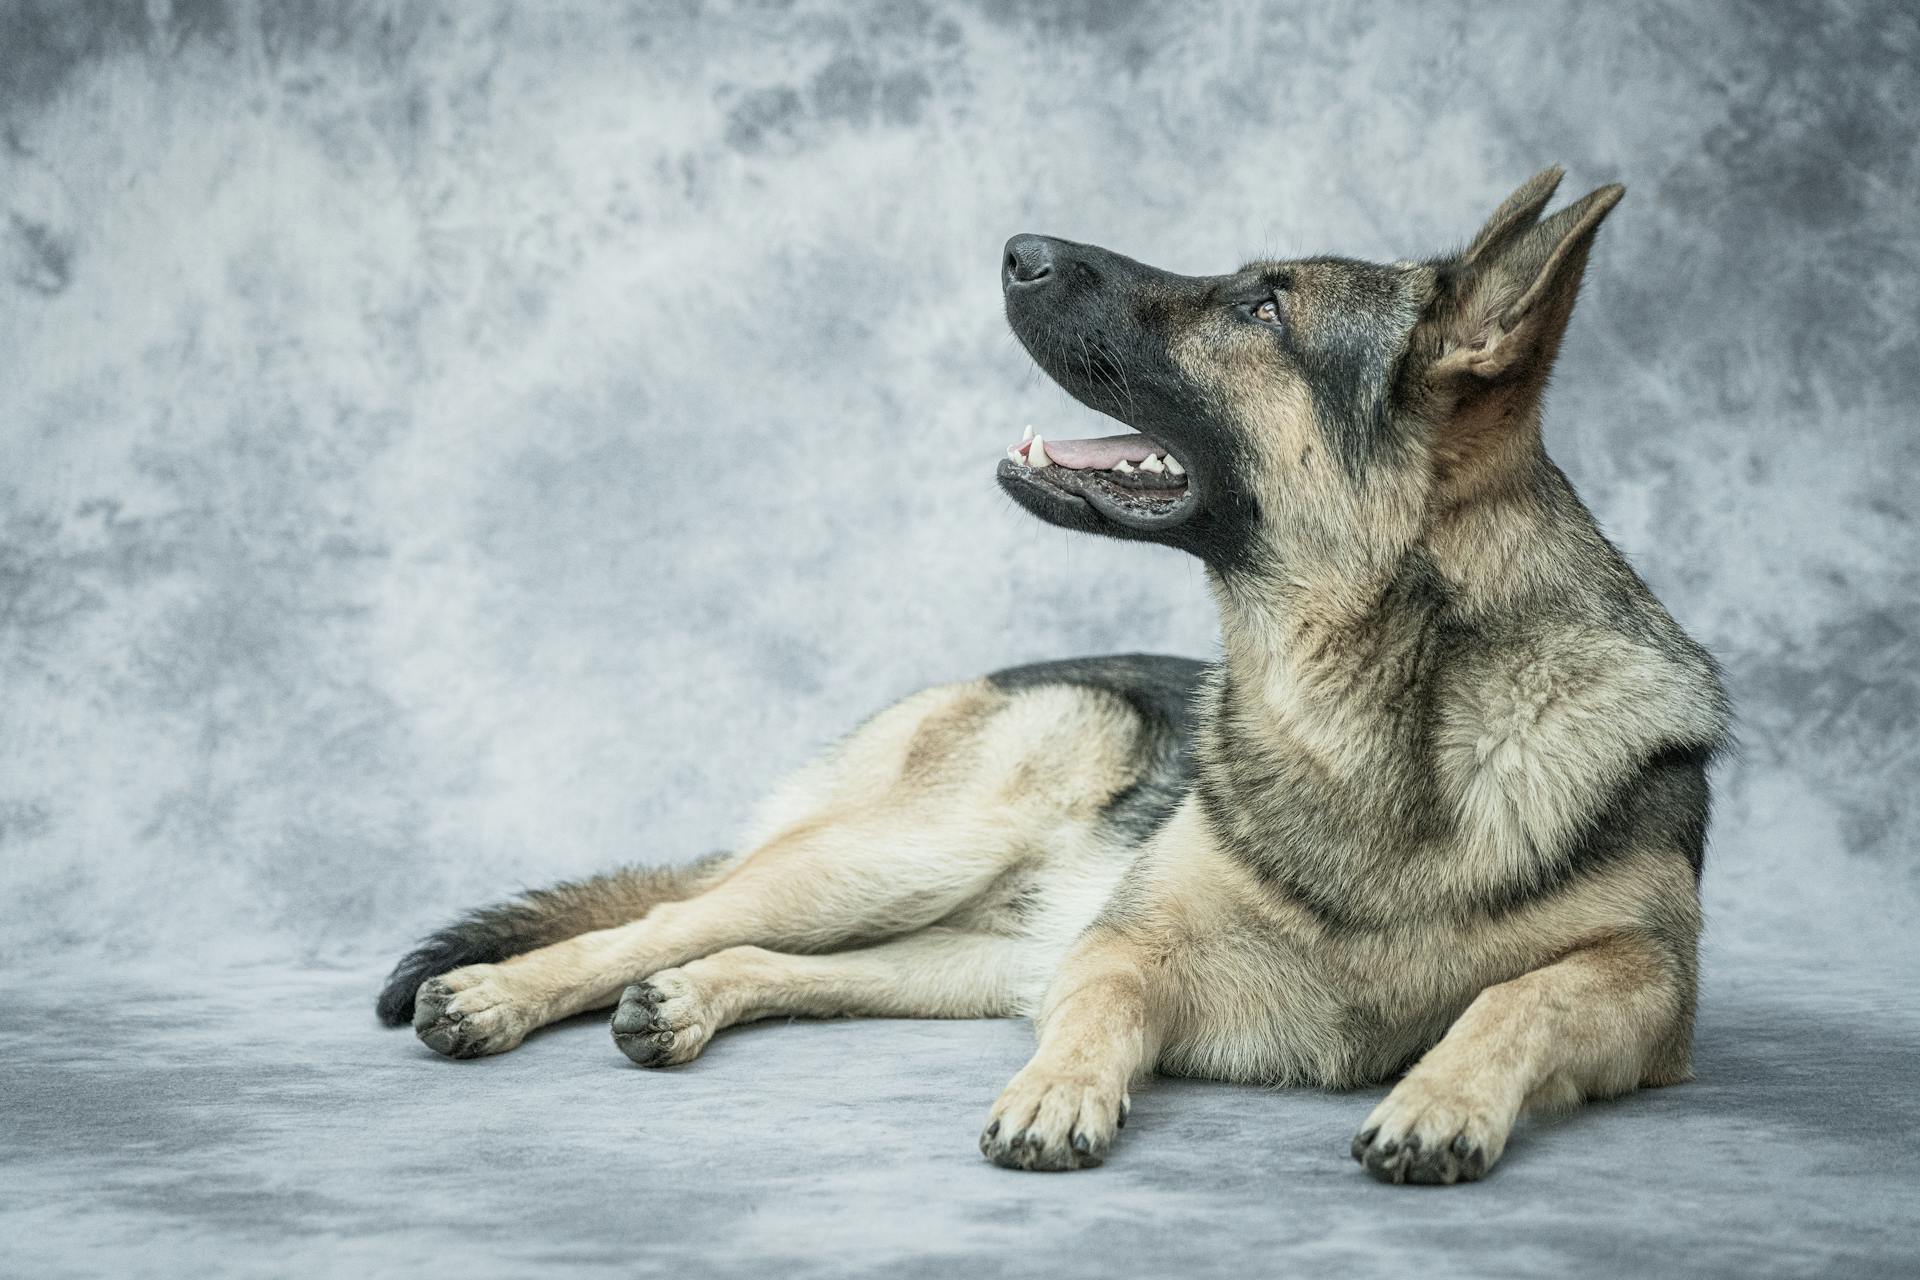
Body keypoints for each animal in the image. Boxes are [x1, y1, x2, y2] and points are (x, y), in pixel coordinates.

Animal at [382, 167, 1735, 1182]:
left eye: (1264, 309)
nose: (1017, 246)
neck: (1371, 712)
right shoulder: (1122, 945)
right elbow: (1105, 1005)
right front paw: (1059, 1091)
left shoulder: (1652, 989)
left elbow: (1523, 996)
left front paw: (1440, 1096)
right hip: (898, 854)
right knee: (667, 918)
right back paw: (495, 996)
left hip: (962, 946)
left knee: (780, 961)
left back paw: (689, 999)